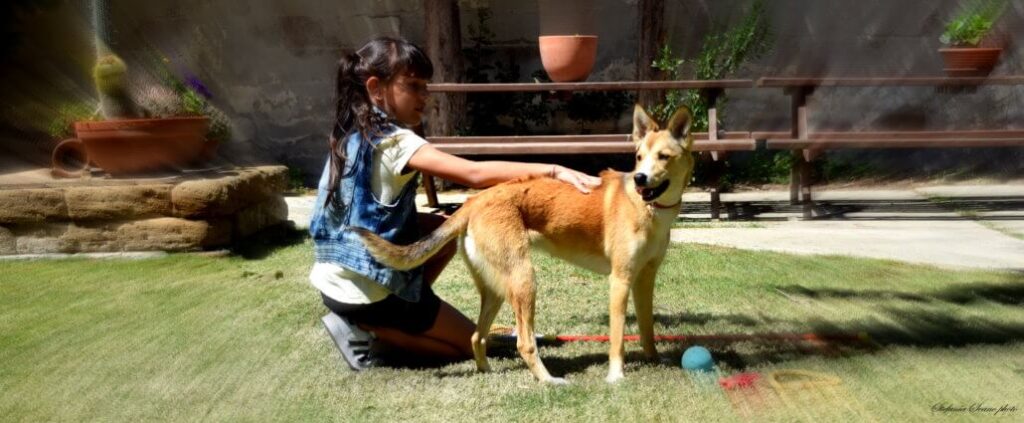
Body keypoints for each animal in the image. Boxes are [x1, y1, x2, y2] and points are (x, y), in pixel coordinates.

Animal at [356, 104, 700, 383]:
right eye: (639, 157)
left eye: (663, 157)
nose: (640, 178)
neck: (648, 209)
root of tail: (476, 200)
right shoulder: (620, 281)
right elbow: (617, 338)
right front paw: (616, 376)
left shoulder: (644, 280)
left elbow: (647, 328)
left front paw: (655, 360)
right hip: (525, 281)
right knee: (524, 342)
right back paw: (549, 381)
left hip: (496, 290)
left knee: (477, 337)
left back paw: (486, 371)